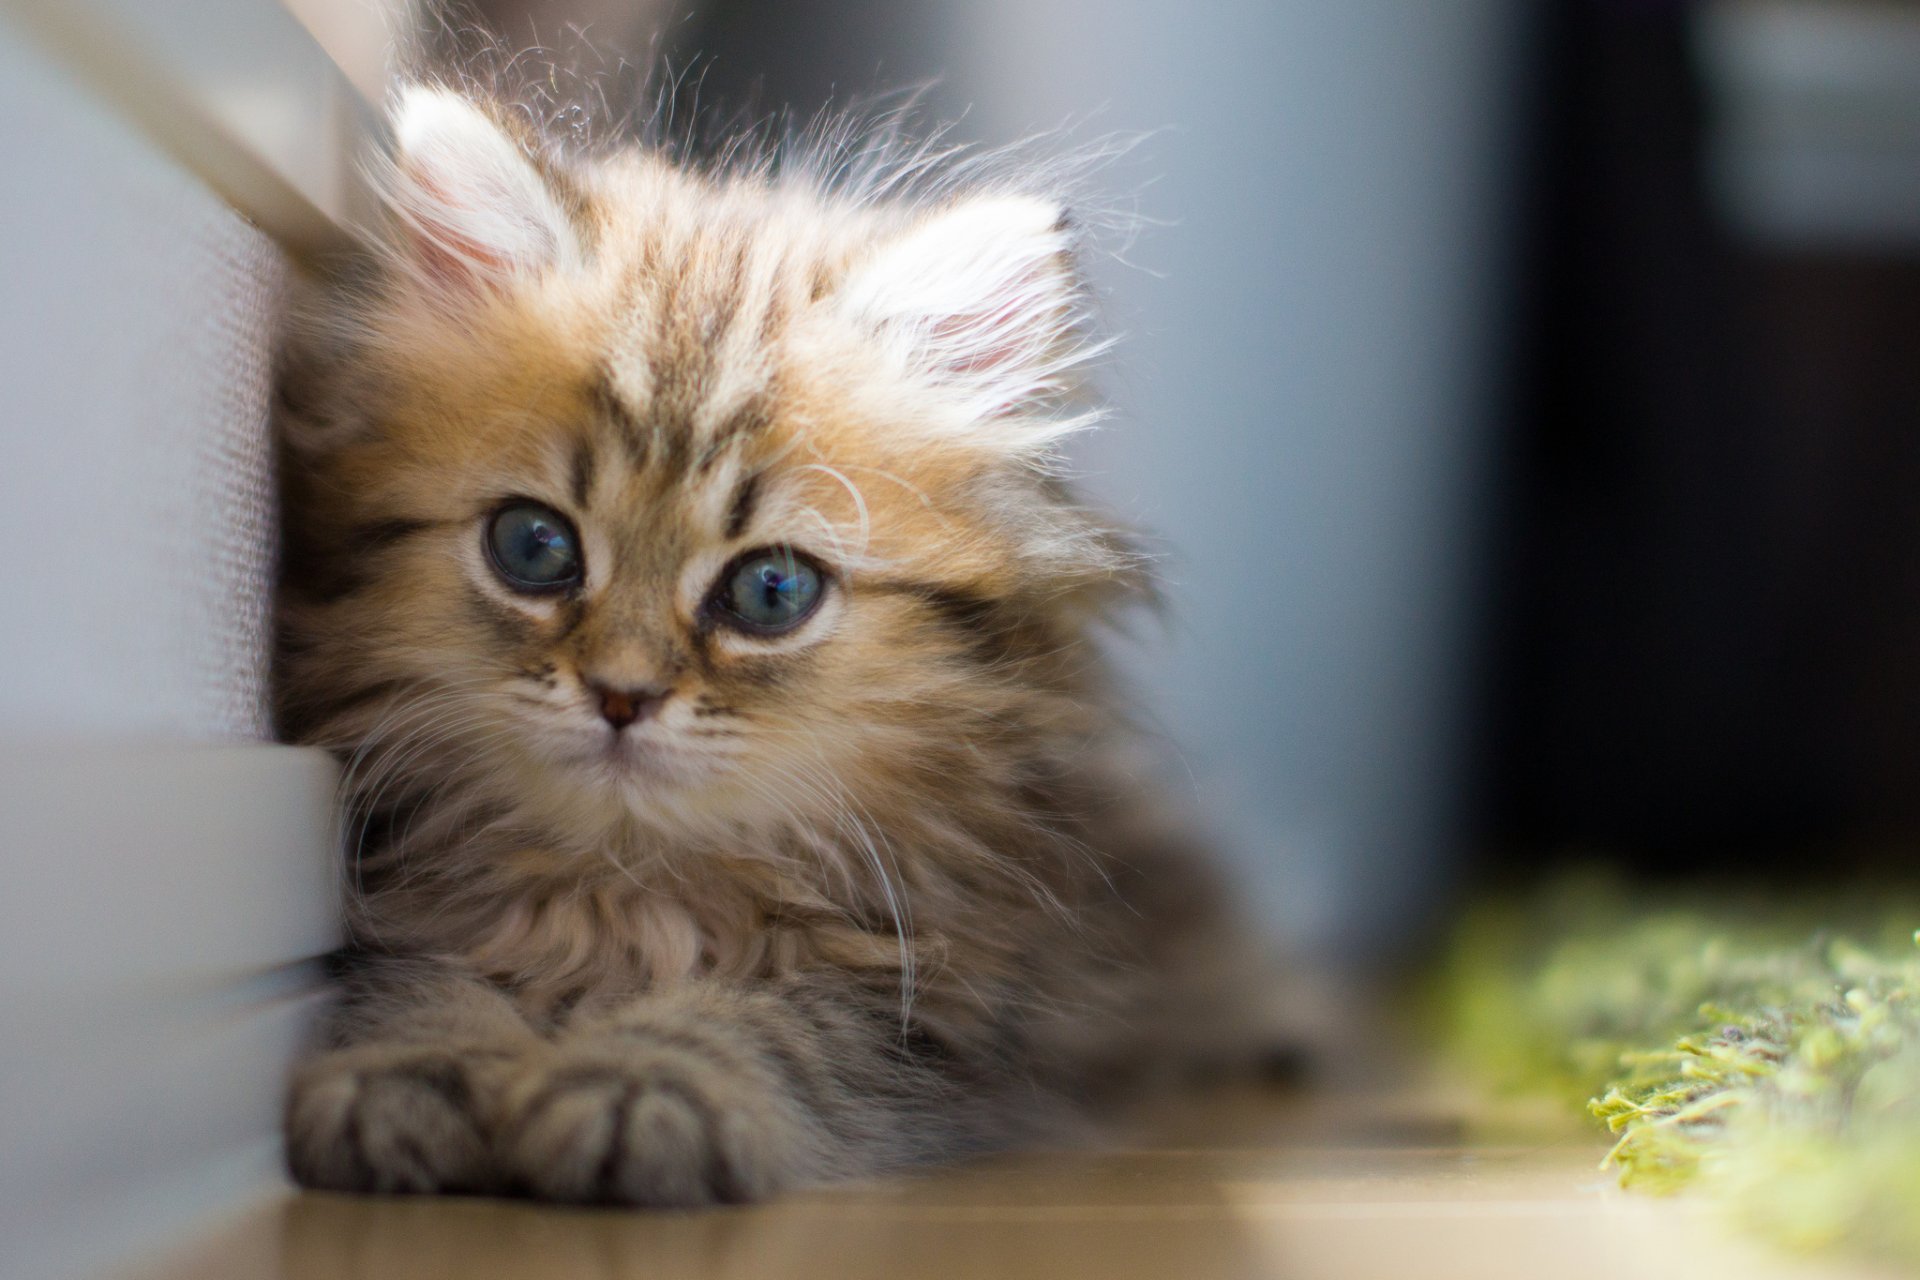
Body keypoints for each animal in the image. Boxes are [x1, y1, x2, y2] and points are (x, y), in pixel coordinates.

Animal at [278, 84, 1274, 1205]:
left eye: (770, 590)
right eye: (533, 546)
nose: (621, 695)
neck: (631, 888)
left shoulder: (945, 1013)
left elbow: (777, 1024)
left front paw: (643, 1082)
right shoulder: (396, 920)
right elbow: (420, 982)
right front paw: (407, 1070)